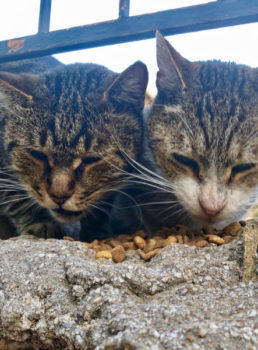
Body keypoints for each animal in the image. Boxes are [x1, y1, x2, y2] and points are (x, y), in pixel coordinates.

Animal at [0, 58, 147, 238]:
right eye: (37, 155)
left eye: (92, 159)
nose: (58, 196)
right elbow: (17, 198)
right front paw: (40, 224)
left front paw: (96, 231)